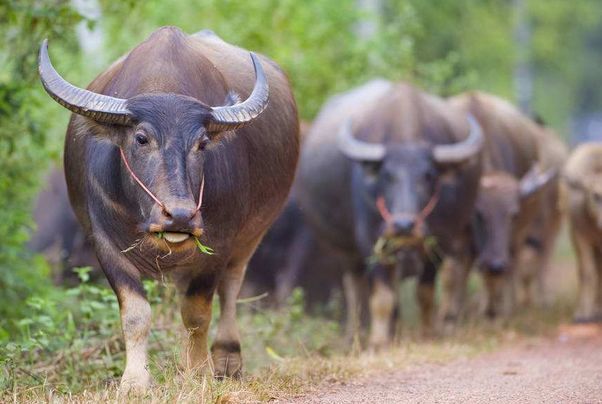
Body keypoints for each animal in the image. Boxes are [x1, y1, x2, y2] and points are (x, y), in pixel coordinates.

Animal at [39, 26, 298, 390]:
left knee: (231, 287)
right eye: (141, 138)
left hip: (251, 236)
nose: (180, 216)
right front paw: (134, 381)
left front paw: (198, 371)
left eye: (202, 144)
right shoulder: (103, 243)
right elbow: (136, 314)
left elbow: (197, 312)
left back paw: (226, 359)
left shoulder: (219, 243)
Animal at [296, 79, 482, 348]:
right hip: (346, 251)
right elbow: (381, 295)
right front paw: (378, 340)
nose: (404, 226)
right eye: (387, 175)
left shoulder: (440, 241)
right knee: (355, 287)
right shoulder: (370, 241)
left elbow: (424, 292)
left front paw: (427, 332)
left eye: (429, 176)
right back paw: (355, 334)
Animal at [448, 91, 556, 318]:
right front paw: (457, 311)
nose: (496, 264)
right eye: (479, 214)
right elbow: (460, 270)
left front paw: (500, 309)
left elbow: (503, 272)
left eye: (513, 214)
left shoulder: (512, 238)